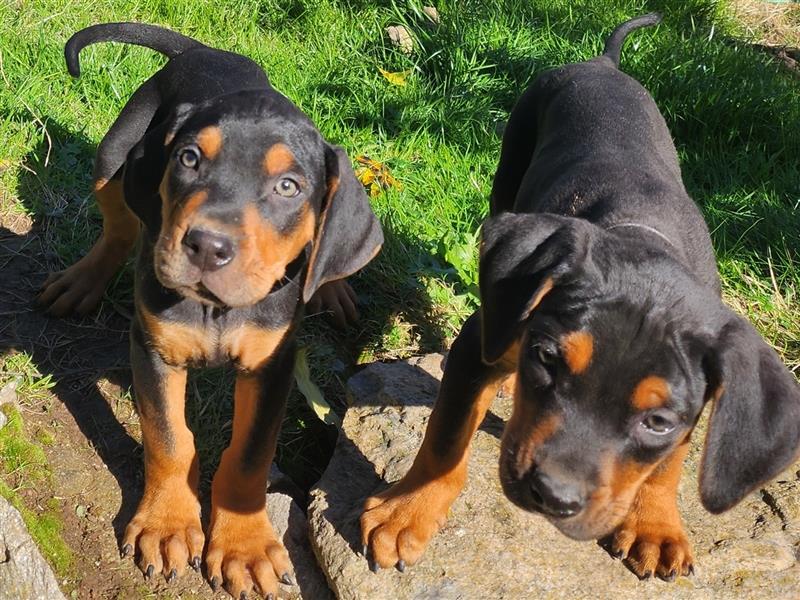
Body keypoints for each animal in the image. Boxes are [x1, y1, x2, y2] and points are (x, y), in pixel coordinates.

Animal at [40, 22, 384, 596]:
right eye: (189, 159)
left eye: (288, 187)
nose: (206, 246)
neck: (217, 309)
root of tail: (204, 51)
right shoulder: (152, 349)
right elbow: (168, 438)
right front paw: (166, 525)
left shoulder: (273, 366)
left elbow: (248, 457)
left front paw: (245, 547)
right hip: (113, 157)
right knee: (120, 226)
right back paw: (81, 280)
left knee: (326, 252)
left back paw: (330, 287)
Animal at [362, 11, 800, 580]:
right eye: (547, 357)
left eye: (658, 421)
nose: (551, 495)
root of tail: (602, 62)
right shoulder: (476, 341)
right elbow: (446, 436)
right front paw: (404, 513)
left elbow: (669, 463)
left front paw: (657, 526)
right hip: (508, 175)